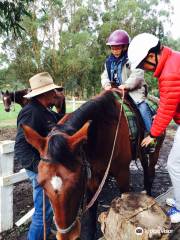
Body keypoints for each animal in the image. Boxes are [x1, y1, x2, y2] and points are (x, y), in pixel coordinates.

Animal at [21, 90, 164, 240]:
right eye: (41, 183)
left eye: (77, 183)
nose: (67, 236)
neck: (103, 130)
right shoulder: (92, 175)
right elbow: (92, 209)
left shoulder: (122, 173)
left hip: (154, 151)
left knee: (150, 174)